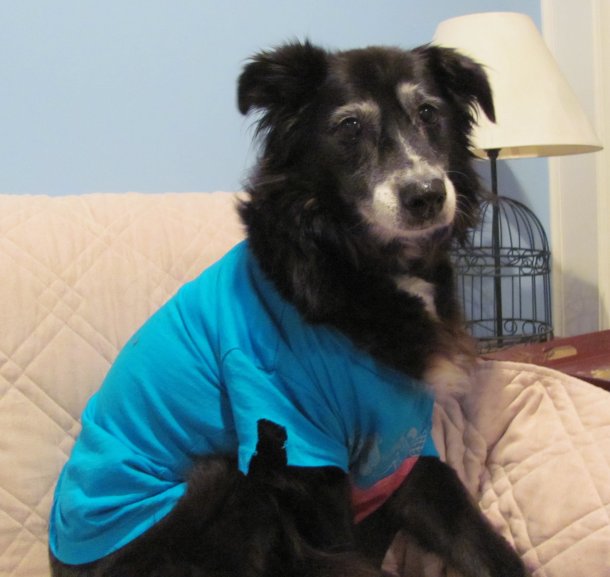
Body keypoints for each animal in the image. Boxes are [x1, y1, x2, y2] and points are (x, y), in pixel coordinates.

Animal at [49, 41, 528, 577]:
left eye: (428, 113)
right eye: (349, 125)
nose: (426, 196)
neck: (354, 260)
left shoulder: (404, 449)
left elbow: (482, 542)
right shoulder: (303, 453)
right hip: (224, 481)